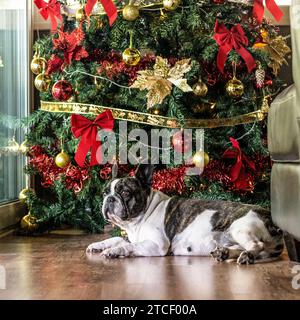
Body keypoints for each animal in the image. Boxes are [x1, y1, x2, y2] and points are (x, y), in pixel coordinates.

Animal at [85, 164, 282, 264]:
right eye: (104, 192)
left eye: (125, 192)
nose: (110, 199)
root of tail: (273, 222)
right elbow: (116, 238)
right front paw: (97, 245)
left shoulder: (157, 245)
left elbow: (129, 246)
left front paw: (114, 251)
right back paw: (224, 253)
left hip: (240, 228)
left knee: (257, 245)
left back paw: (247, 256)